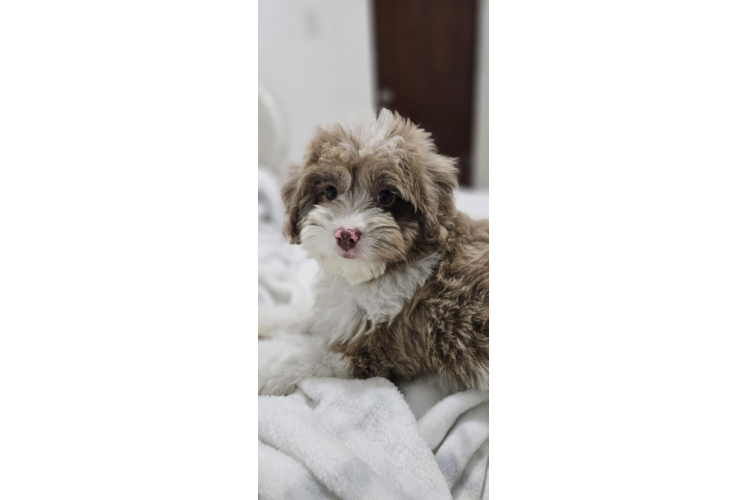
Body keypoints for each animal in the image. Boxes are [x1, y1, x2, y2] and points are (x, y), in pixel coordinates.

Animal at [258, 109, 490, 394]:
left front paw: (267, 360)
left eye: (386, 197)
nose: (346, 235)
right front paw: (269, 317)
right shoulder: (342, 311)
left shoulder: (376, 347)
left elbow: (300, 353)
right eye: (330, 192)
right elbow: (306, 312)